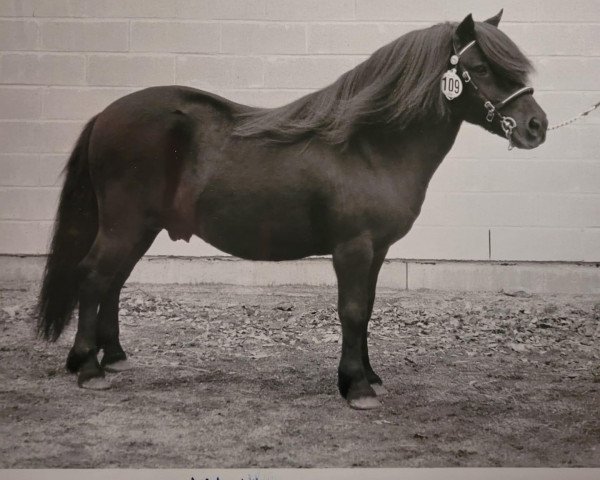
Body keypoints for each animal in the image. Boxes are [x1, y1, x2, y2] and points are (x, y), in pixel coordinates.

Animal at [36, 11, 544, 408]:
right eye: (479, 67)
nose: (537, 126)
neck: (370, 145)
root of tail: (106, 115)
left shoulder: (376, 251)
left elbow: (369, 308)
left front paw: (369, 375)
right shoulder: (353, 247)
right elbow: (352, 310)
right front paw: (357, 387)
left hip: (140, 228)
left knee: (113, 283)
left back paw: (114, 357)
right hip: (124, 225)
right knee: (94, 277)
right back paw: (89, 369)